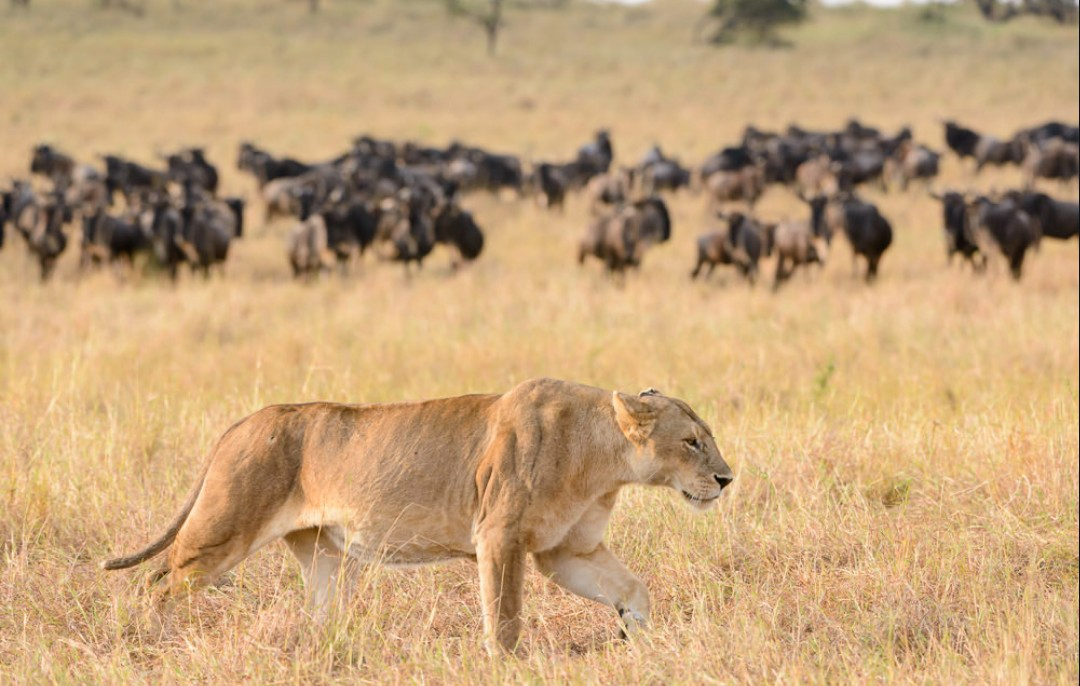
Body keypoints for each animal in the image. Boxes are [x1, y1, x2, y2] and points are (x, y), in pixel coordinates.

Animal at [102, 377, 734, 653]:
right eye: (693, 442)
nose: (728, 480)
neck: (603, 459)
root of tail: (240, 424)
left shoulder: (565, 551)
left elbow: (634, 588)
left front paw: (637, 638)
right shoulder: (499, 536)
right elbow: (504, 615)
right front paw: (506, 663)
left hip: (324, 554)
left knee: (319, 612)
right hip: (222, 531)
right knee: (157, 582)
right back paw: (146, 640)